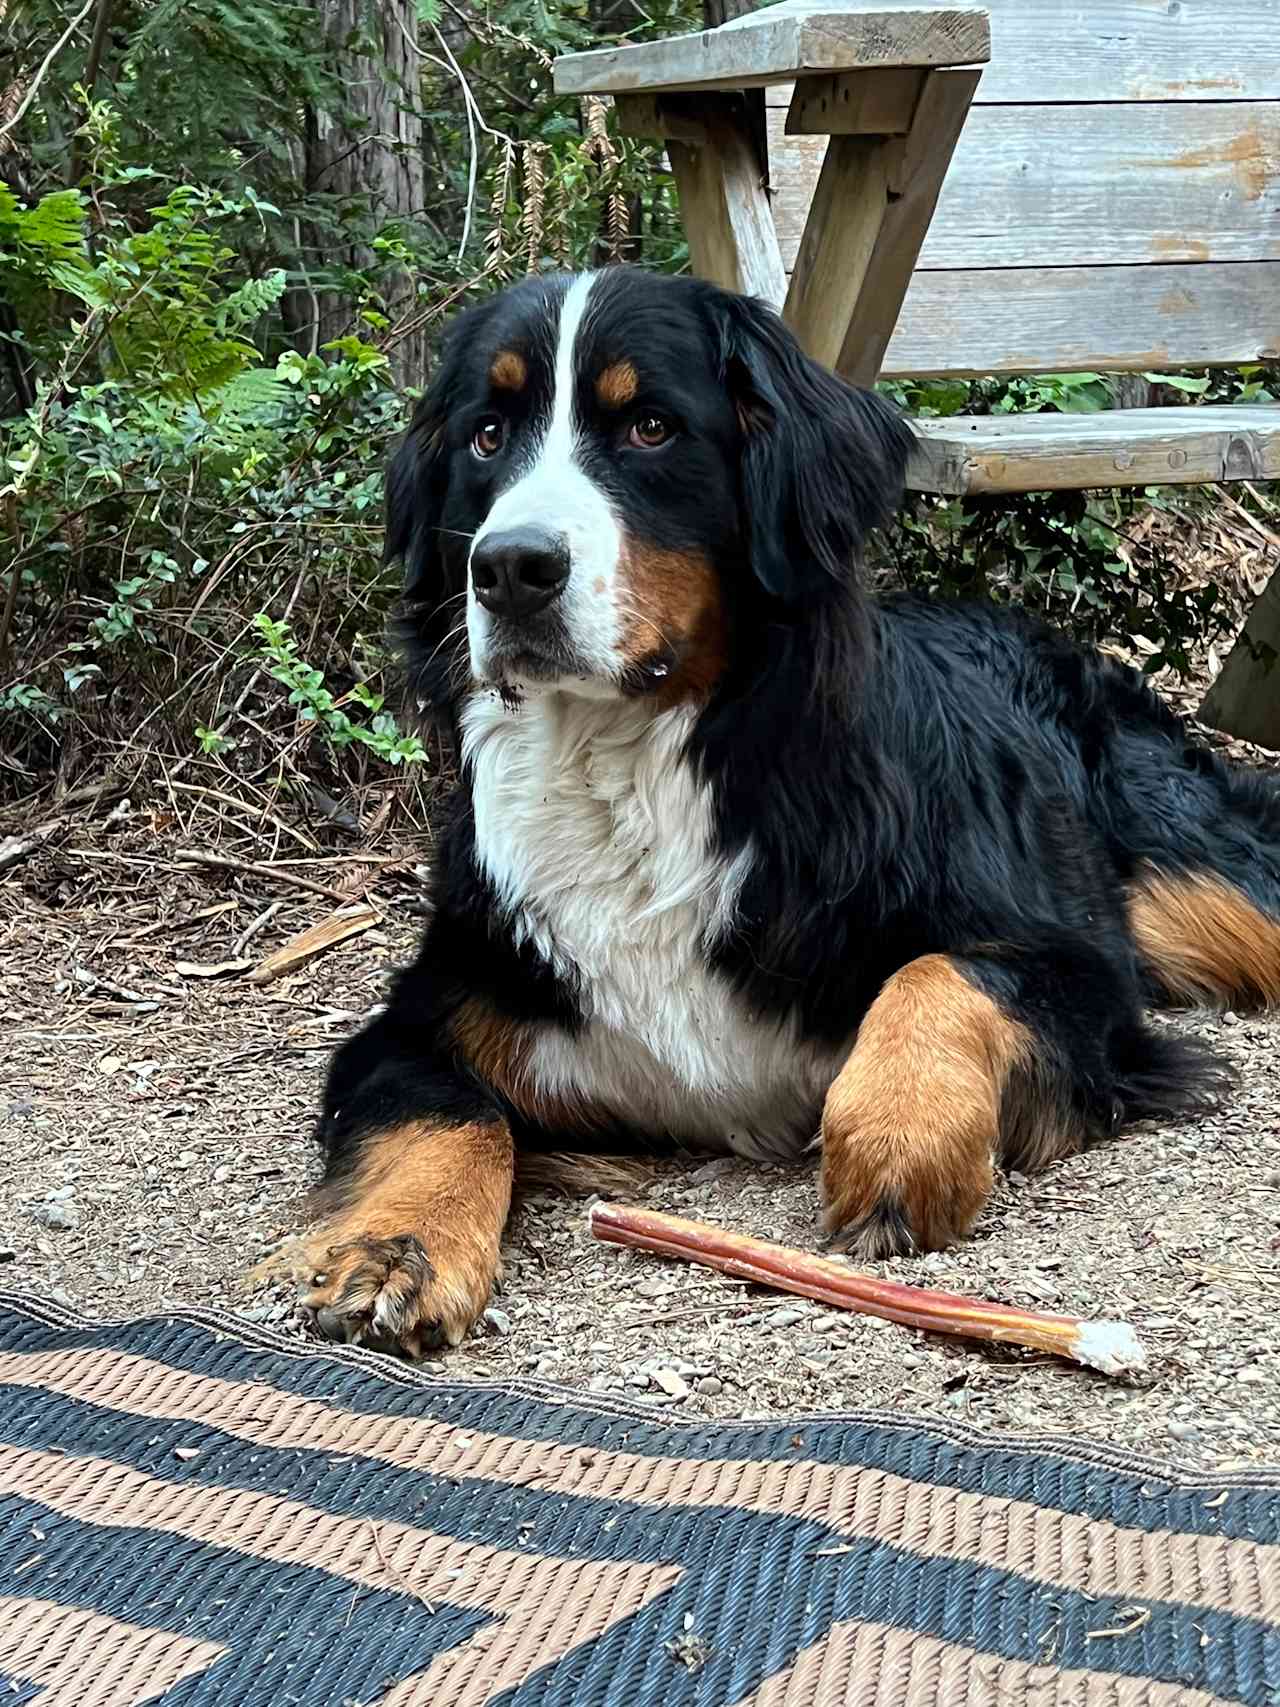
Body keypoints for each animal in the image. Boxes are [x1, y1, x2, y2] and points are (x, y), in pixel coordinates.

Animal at [288, 269, 1280, 1358]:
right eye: (486, 435)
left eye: (649, 426)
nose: (508, 567)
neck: (631, 768)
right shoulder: (432, 1009)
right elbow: (442, 1113)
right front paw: (397, 1247)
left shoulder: (1075, 961)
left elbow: (945, 974)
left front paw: (899, 1137)